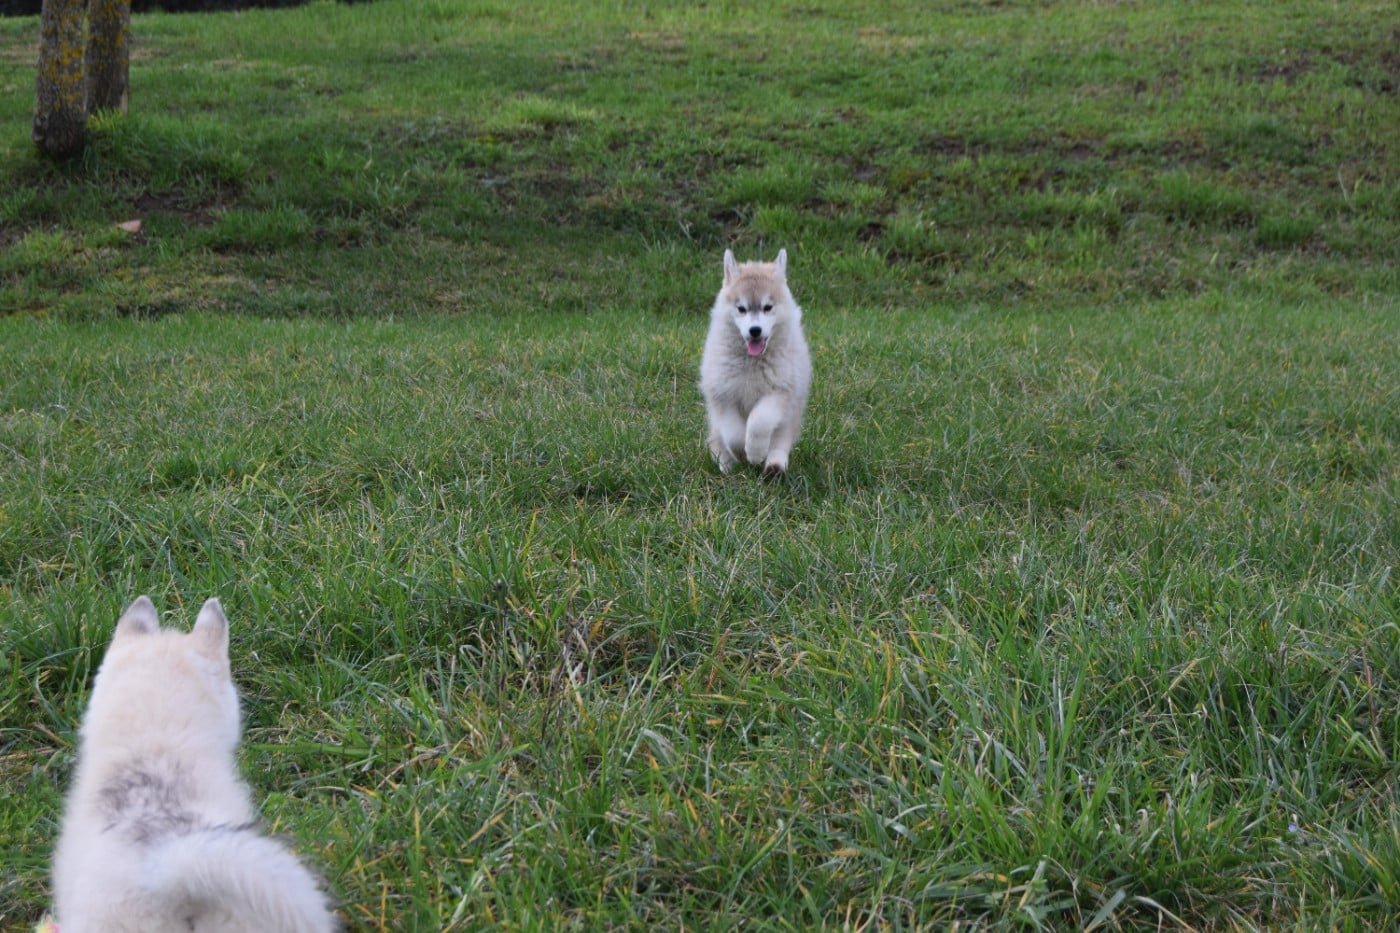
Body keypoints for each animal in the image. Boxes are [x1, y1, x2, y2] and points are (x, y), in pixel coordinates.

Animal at [699, 248, 812, 475]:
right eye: (741, 308)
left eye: (768, 307)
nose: (755, 331)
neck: (752, 362)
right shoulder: (723, 395)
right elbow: (733, 435)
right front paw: (742, 453)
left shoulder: (780, 392)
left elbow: (759, 422)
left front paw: (756, 452)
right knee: (717, 441)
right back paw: (727, 465)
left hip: (788, 418)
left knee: (779, 442)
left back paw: (774, 467)